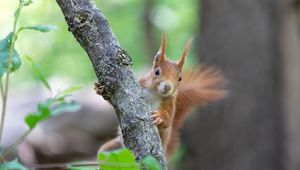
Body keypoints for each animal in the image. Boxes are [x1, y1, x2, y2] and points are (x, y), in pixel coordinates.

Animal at [95, 32, 226, 158]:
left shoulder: (170, 102)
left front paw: (159, 117)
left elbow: (168, 120)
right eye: (157, 72)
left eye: (180, 78)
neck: (154, 93)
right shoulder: (138, 85)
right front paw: (100, 89)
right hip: (110, 149)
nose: (167, 87)